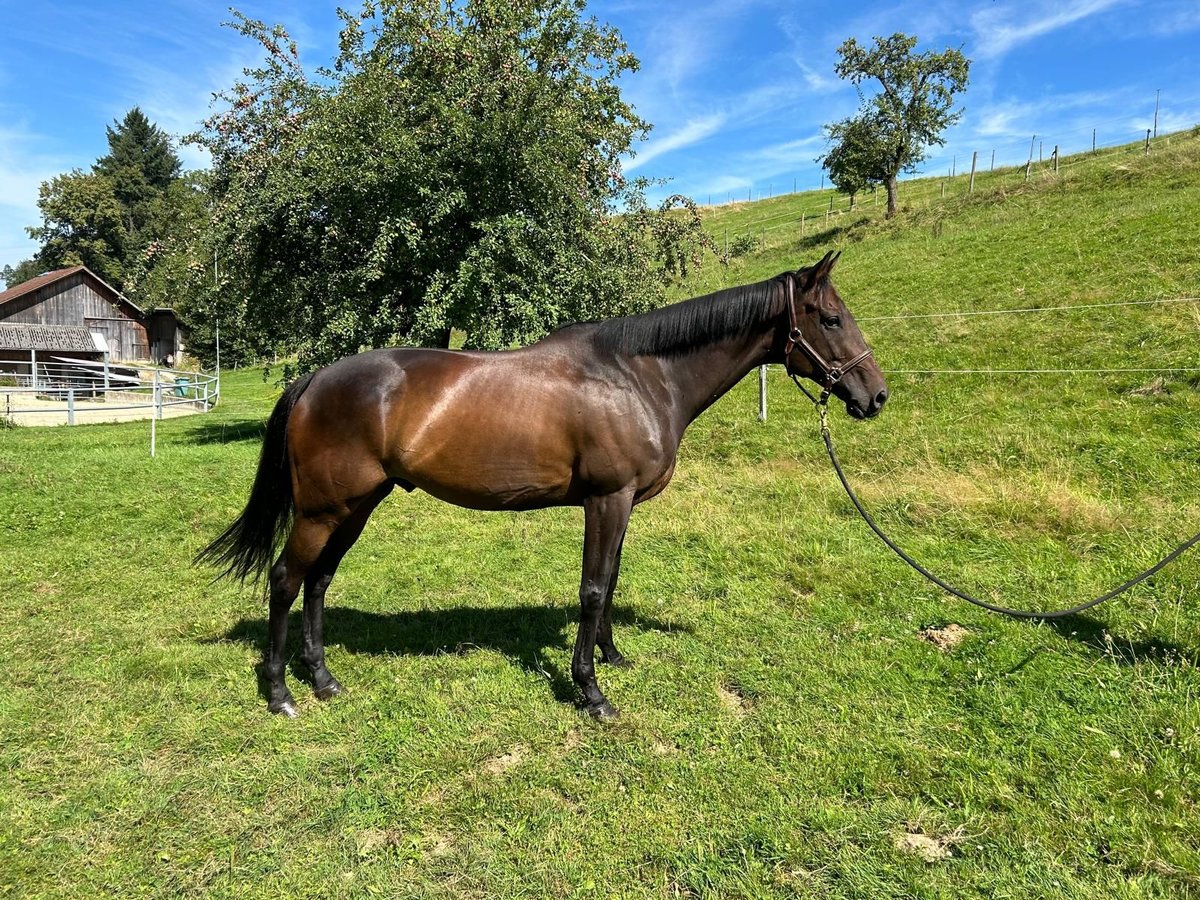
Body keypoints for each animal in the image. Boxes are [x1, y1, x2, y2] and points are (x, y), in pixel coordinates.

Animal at [201, 252, 888, 720]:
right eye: (831, 318)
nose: (875, 396)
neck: (639, 375)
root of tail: (315, 380)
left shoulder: (621, 504)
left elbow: (611, 581)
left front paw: (613, 656)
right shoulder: (607, 499)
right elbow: (592, 588)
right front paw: (591, 692)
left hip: (357, 506)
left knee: (318, 581)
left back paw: (323, 680)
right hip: (324, 509)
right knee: (286, 581)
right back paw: (282, 693)